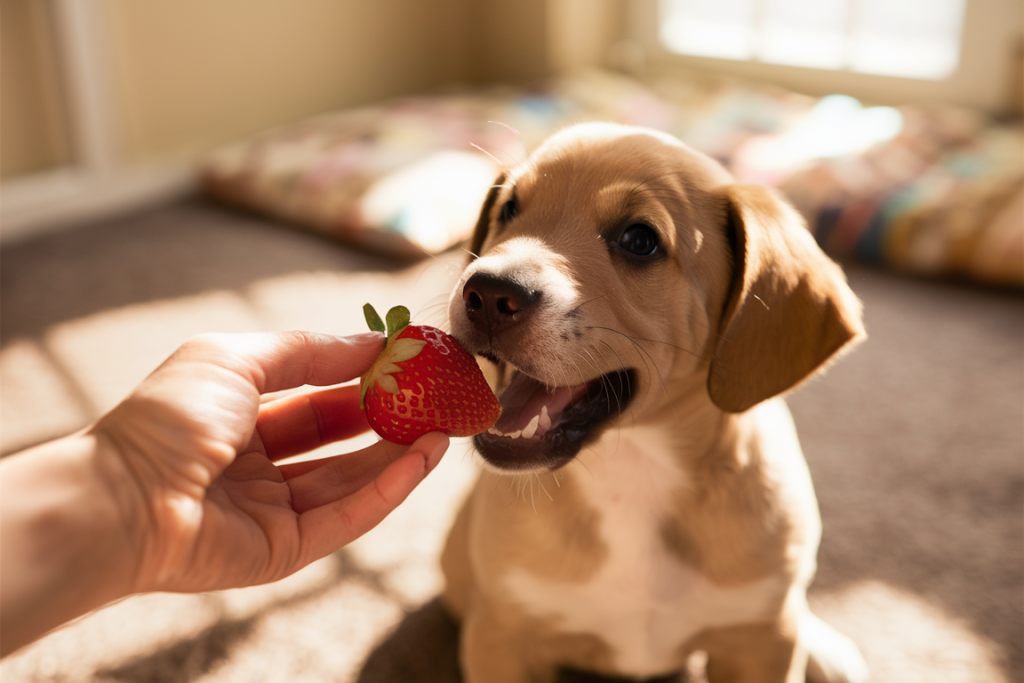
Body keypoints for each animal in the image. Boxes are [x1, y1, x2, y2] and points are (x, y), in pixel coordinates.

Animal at [444, 124, 868, 683]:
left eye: (639, 241)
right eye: (509, 208)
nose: (488, 294)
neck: (634, 473)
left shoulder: (759, 644)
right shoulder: (502, 633)